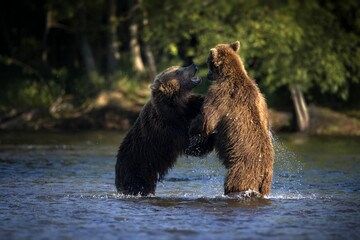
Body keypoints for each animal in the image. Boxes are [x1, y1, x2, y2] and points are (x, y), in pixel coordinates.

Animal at [114, 64, 214, 197]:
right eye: (177, 71)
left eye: (179, 67)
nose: (194, 65)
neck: (175, 106)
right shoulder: (168, 129)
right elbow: (191, 145)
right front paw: (208, 140)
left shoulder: (187, 109)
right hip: (137, 167)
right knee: (138, 186)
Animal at [187, 41, 274, 198]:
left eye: (208, 62)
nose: (207, 75)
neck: (229, 75)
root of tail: (264, 171)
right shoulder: (260, 97)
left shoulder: (221, 94)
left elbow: (207, 119)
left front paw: (193, 127)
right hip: (267, 181)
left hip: (241, 170)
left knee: (234, 183)